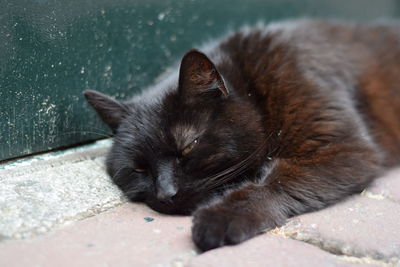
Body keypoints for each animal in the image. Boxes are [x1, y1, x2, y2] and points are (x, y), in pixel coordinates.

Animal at [83, 19, 400, 252]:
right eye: (138, 169)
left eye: (189, 147)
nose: (165, 194)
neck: (253, 85)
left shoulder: (339, 147)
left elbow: (274, 183)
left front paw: (223, 216)